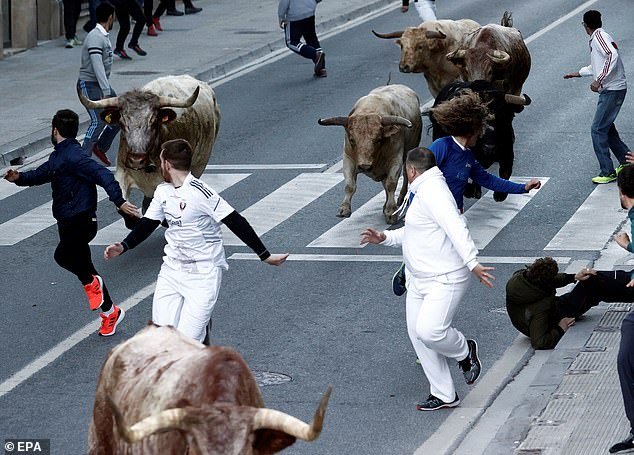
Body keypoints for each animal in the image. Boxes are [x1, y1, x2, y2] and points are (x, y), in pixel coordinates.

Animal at [318, 84, 422, 225]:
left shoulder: (395, 160)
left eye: (378, 139)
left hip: (409, 152)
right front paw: (344, 209)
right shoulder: (348, 159)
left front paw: (391, 212)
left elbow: (391, 184)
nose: (365, 166)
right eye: (352, 140)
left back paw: (400, 199)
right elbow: (349, 185)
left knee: (405, 177)